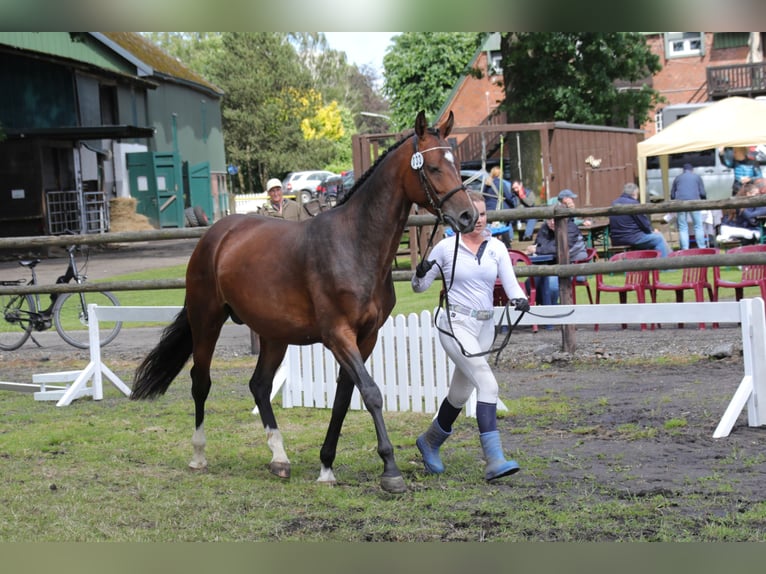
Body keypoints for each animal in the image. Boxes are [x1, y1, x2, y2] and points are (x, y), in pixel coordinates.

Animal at [135, 111, 476, 496]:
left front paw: (326, 466)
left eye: (456, 164)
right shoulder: (338, 335)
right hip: (206, 319)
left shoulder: (366, 337)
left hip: (273, 334)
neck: (355, 244)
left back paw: (279, 459)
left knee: (260, 385)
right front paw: (390, 470)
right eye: (432, 167)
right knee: (200, 381)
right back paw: (199, 455)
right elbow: (371, 393)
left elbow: (344, 397)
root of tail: (216, 235)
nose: (468, 217)